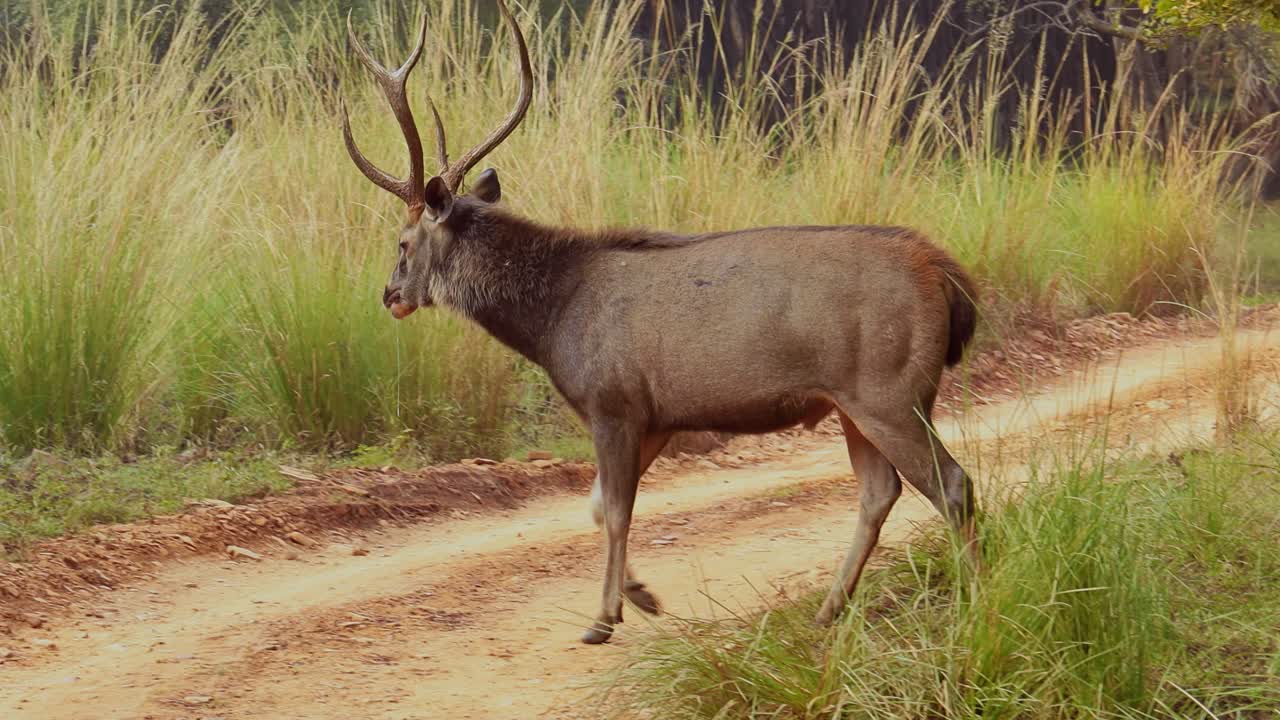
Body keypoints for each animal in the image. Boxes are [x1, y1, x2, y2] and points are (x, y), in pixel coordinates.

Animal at [340, 0, 980, 645]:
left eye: (402, 242)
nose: (389, 294)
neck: (553, 322)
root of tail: (948, 277)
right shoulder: (655, 417)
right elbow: (599, 504)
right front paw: (643, 596)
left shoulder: (611, 400)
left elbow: (618, 510)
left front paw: (603, 619)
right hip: (856, 401)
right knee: (880, 491)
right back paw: (830, 610)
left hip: (889, 388)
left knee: (950, 484)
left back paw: (973, 596)